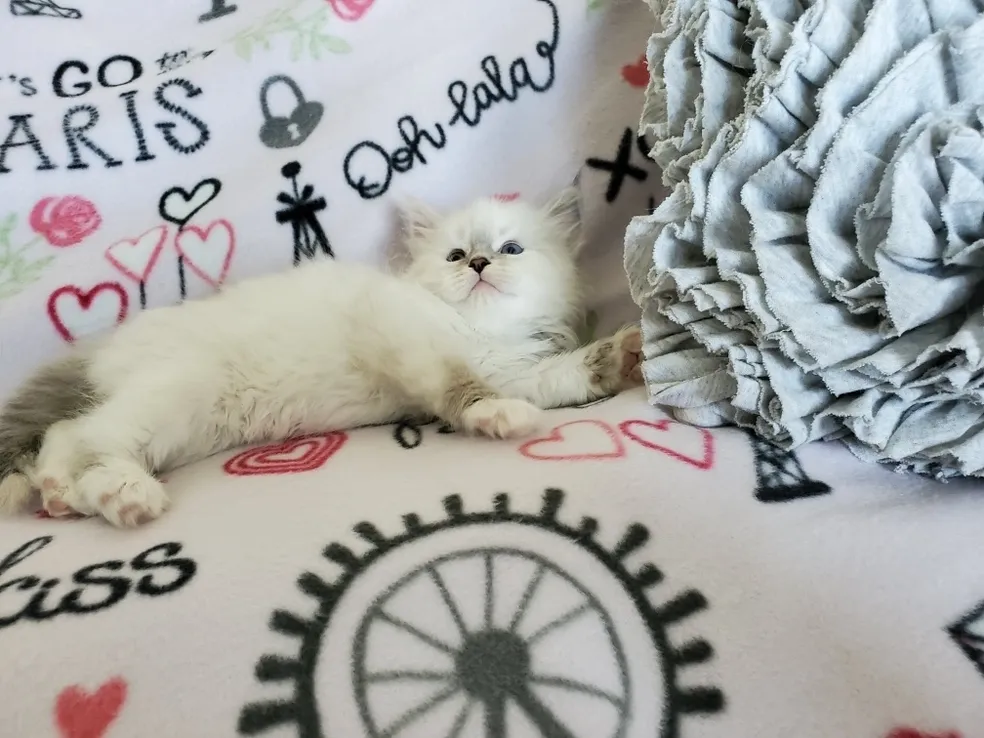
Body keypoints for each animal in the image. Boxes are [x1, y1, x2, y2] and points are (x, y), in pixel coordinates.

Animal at [0, 189, 642, 528]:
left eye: (511, 248)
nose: (481, 265)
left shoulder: (513, 368)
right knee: (83, 434)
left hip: (183, 426)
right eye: (457, 256)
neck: (478, 327)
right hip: (177, 393)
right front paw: (492, 417)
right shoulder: (403, 328)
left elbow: (558, 377)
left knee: (66, 435)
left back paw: (59, 493)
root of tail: (104, 346)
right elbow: (459, 386)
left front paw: (625, 355)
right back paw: (122, 494)